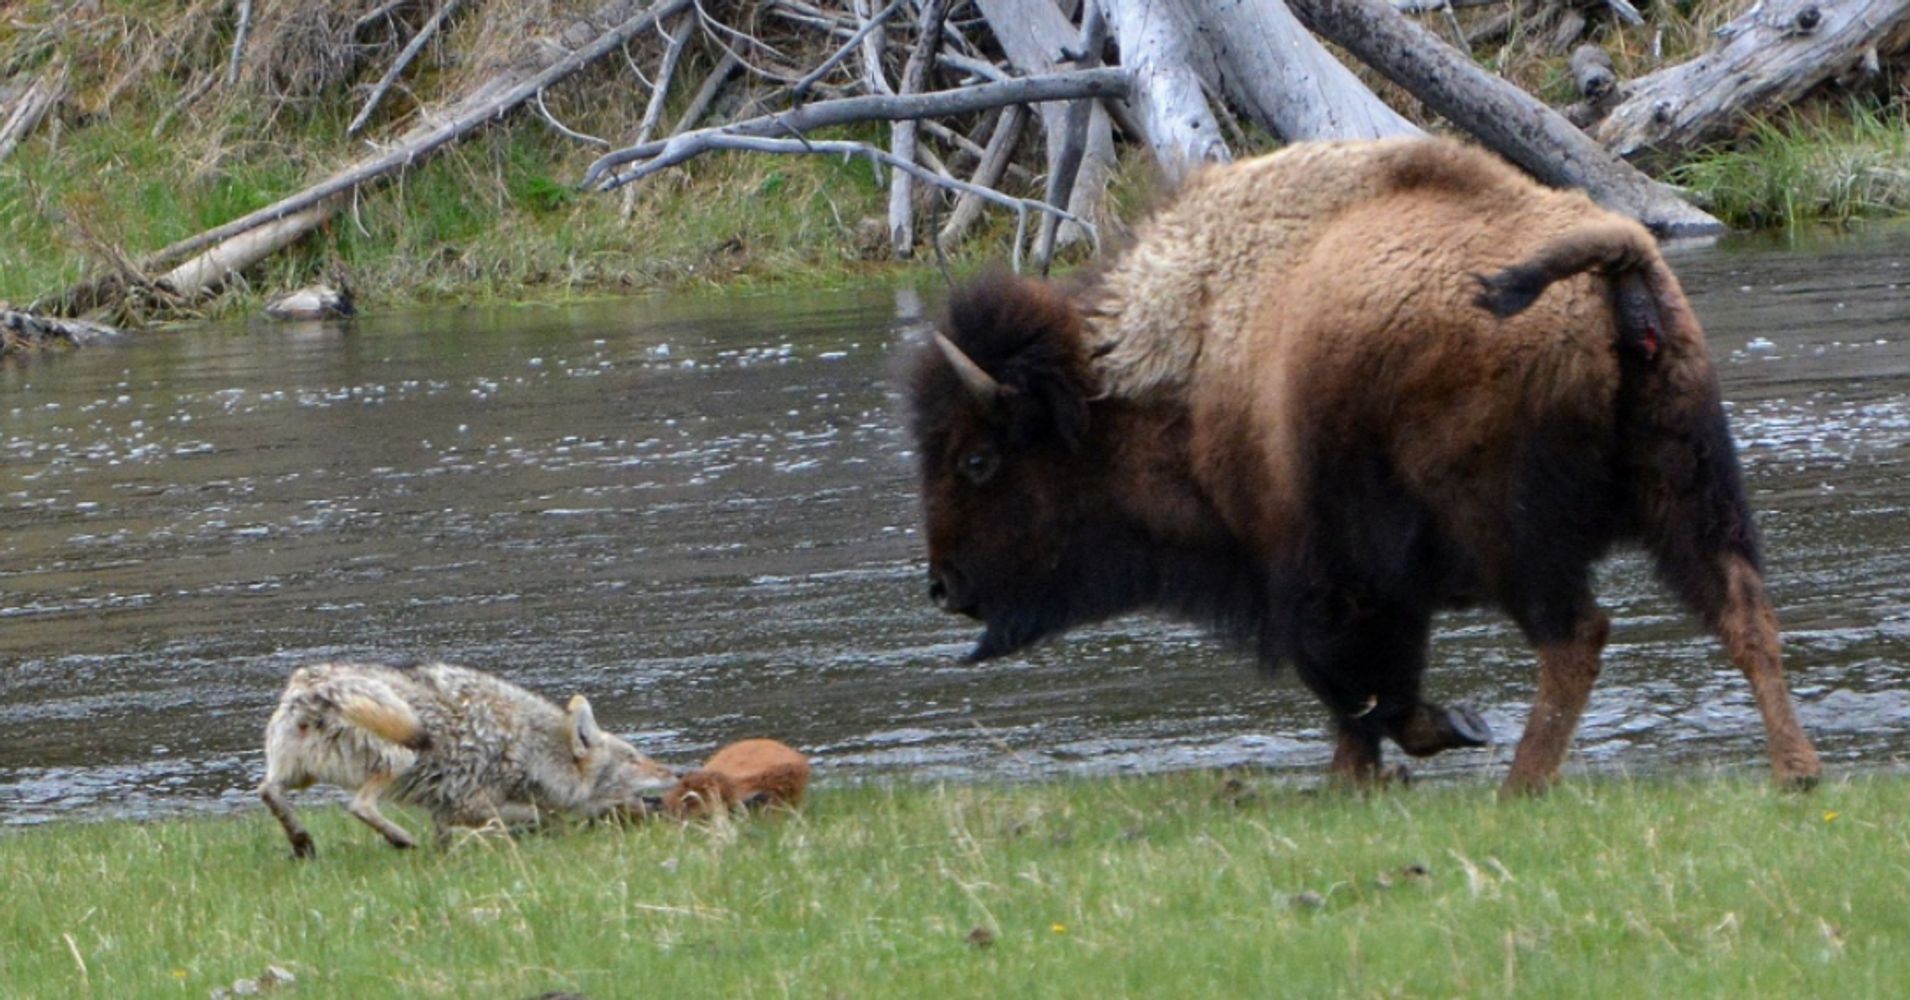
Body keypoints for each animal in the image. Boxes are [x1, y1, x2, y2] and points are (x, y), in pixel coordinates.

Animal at [905, 138, 1818, 797]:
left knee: (1576, 638)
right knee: (1743, 612)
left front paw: (1413, 751)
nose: (943, 587)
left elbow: (1357, 690)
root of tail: (1619, 259)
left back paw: (1519, 787)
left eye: (978, 458)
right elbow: (1378, 691)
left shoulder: (1316, 580)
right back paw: (1796, 773)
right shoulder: (1376, 591)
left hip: (1517, 539)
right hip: (1688, 491)